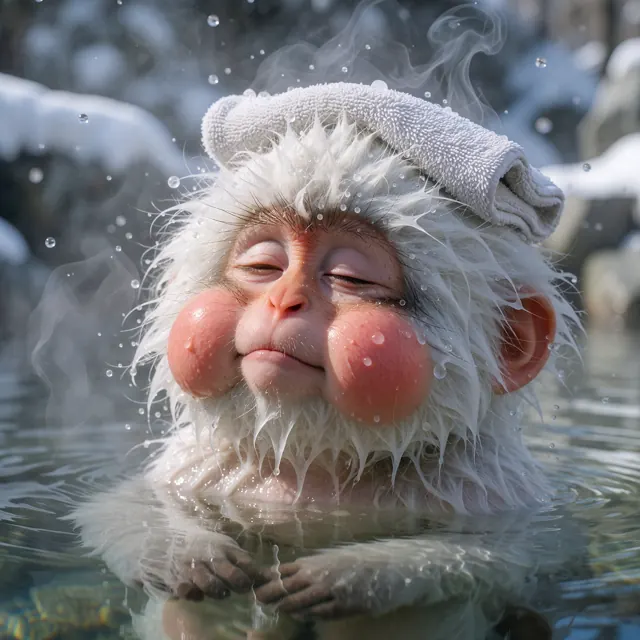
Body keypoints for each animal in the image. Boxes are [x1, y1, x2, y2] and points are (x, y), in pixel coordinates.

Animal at [72, 83, 583, 640]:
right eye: (263, 266)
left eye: (349, 277)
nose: (283, 301)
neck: (315, 466)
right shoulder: (190, 467)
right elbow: (117, 507)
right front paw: (187, 553)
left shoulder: (494, 490)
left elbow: (503, 553)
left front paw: (358, 571)